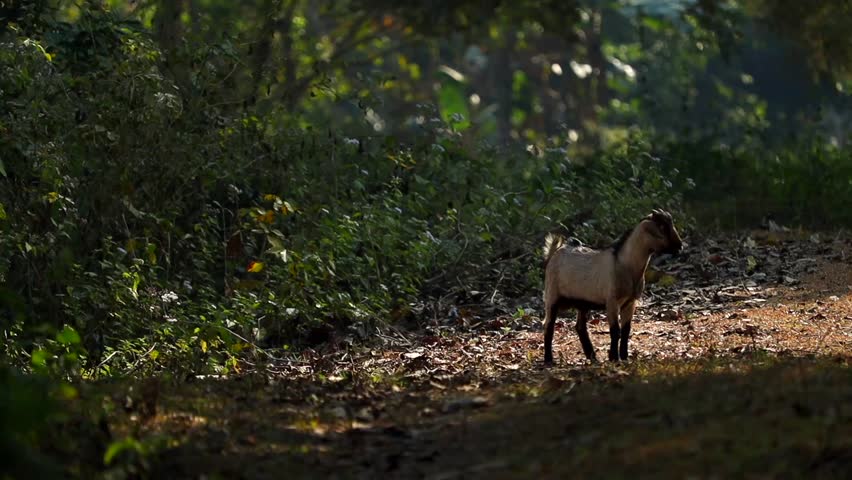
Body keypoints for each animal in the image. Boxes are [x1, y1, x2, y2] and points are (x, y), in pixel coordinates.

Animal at [542, 209, 683, 364]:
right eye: (662, 227)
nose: (679, 246)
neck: (625, 264)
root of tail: (555, 252)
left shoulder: (630, 302)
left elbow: (626, 330)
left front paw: (624, 356)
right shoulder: (612, 301)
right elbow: (615, 331)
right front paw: (614, 358)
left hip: (583, 302)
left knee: (580, 326)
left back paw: (592, 356)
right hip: (552, 295)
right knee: (548, 325)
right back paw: (548, 359)